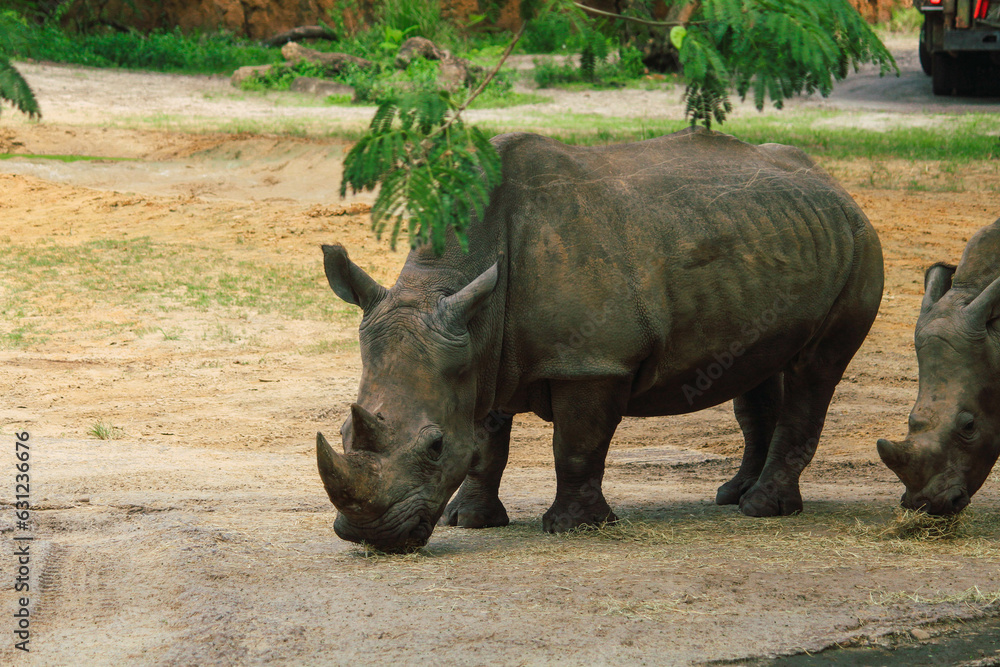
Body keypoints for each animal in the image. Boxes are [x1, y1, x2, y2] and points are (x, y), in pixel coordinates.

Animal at [317, 127, 884, 552]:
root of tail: (837, 186)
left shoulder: (591, 361)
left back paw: (761, 509)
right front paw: (470, 520)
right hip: (778, 237)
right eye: (342, 433)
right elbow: (485, 445)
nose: (370, 535)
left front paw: (574, 527)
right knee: (758, 366)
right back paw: (732, 495)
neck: (454, 284)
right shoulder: (481, 350)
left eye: (435, 448)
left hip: (860, 245)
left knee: (817, 370)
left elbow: (575, 444)